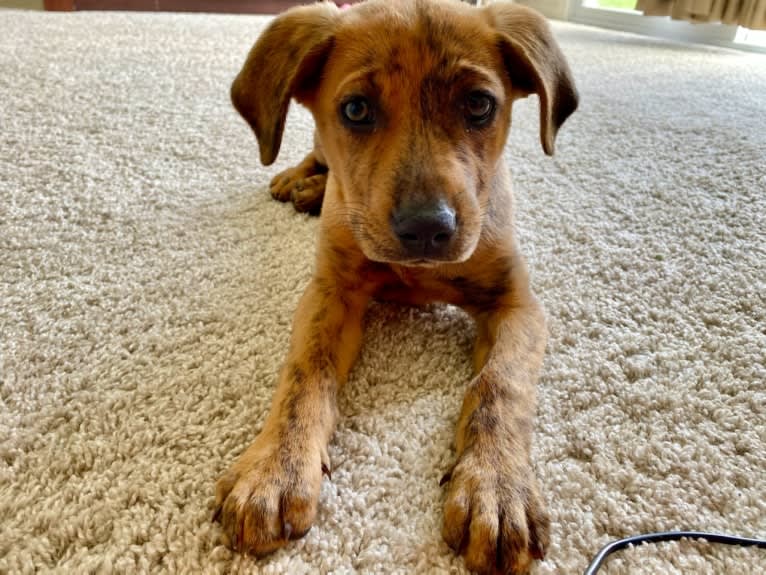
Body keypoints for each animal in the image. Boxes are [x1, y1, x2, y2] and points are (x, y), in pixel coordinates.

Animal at [214, 2, 576, 572]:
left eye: (479, 105)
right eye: (357, 110)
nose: (427, 228)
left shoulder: (518, 303)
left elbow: (501, 385)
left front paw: (496, 486)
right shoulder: (330, 292)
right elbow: (303, 376)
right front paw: (274, 470)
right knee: (316, 153)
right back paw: (302, 180)